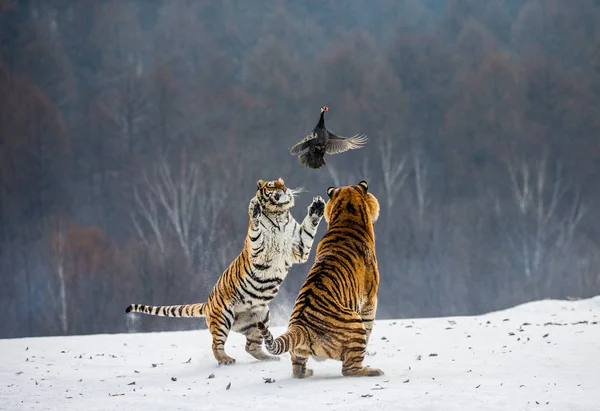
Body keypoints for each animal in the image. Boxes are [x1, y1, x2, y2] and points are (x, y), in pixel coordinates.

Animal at [124, 179, 326, 366]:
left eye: (282, 182)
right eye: (272, 185)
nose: (284, 189)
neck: (279, 214)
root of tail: (208, 303)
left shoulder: (299, 249)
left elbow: (308, 230)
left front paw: (317, 207)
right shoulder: (257, 249)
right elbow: (256, 230)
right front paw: (255, 208)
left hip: (261, 316)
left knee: (251, 346)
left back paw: (269, 358)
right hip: (223, 318)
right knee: (216, 344)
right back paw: (226, 359)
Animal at [255, 181, 382, 380]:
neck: (347, 217)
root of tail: (299, 326)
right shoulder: (370, 299)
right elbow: (369, 324)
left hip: (298, 351)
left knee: (297, 369)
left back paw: (308, 372)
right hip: (355, 324)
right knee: (349, 369)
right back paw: (373, 371)